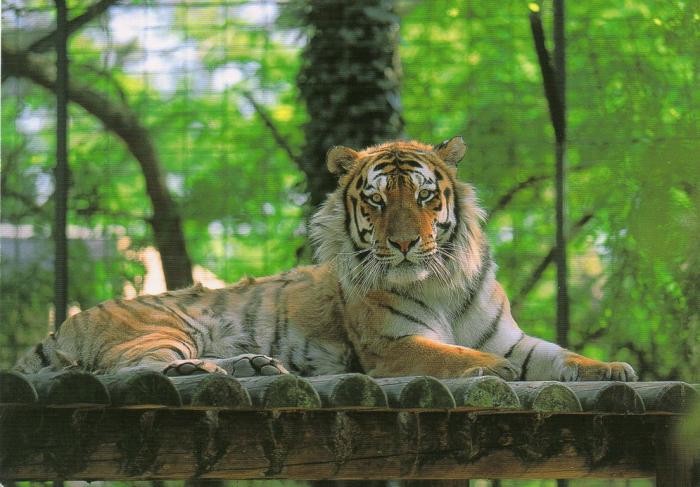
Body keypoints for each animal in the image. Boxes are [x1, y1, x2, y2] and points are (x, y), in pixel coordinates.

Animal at [15, 137, 637, 382]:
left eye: (425, 196)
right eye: (378, 200)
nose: (405, 243)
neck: (439, 282)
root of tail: (62, 325)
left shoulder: (510, 337)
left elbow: (560, 356)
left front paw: (611, 368)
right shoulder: (391, 346)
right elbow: (450, 354)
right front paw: (490, 371)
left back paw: (256, 367)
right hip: (165, 327)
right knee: (135, 369)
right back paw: (215, 371)